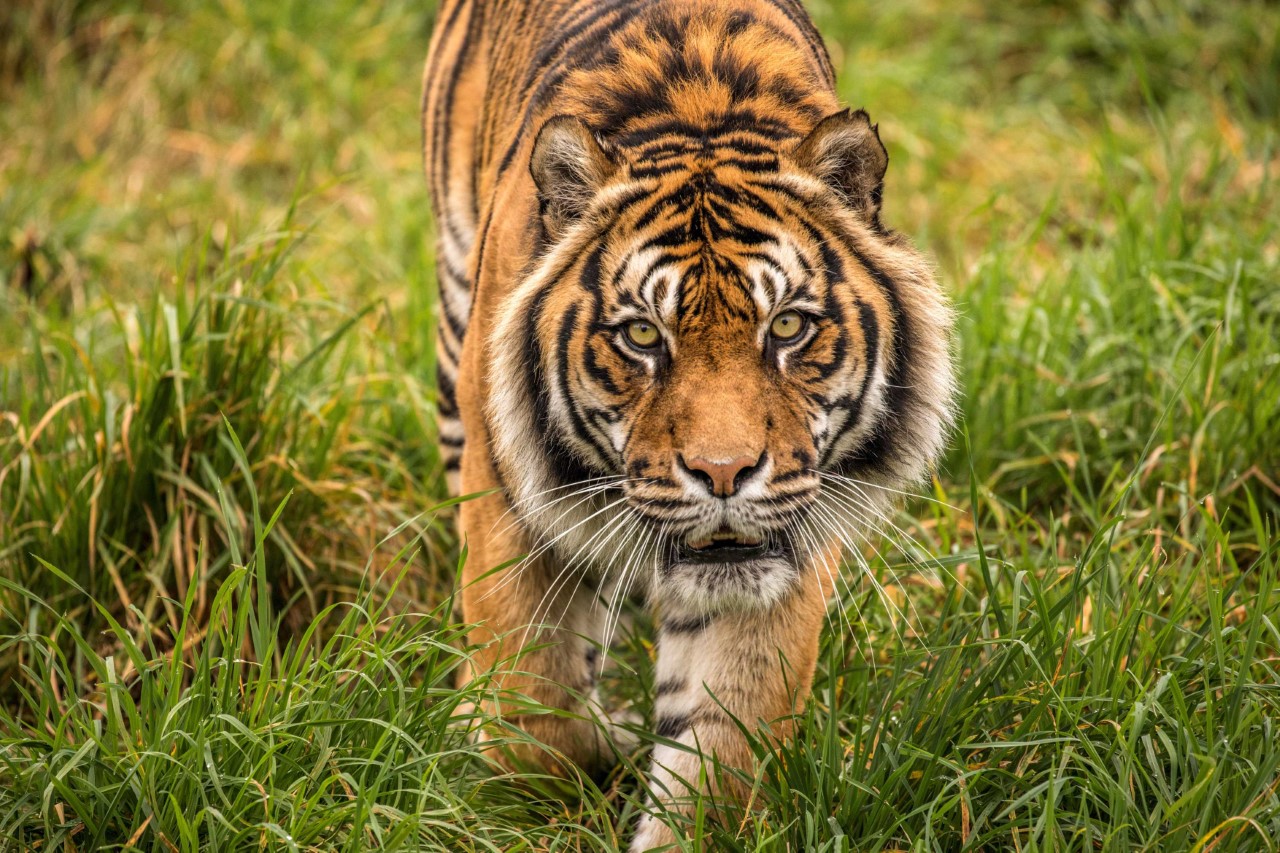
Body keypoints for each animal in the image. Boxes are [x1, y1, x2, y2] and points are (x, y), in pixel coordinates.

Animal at [424, 0, 957, 845]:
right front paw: (571, 750)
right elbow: (532, 716)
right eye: (644, 335)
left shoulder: (778, 557)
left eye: (788, 326)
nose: (724, 472)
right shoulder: (509, 501)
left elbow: (722, 753)